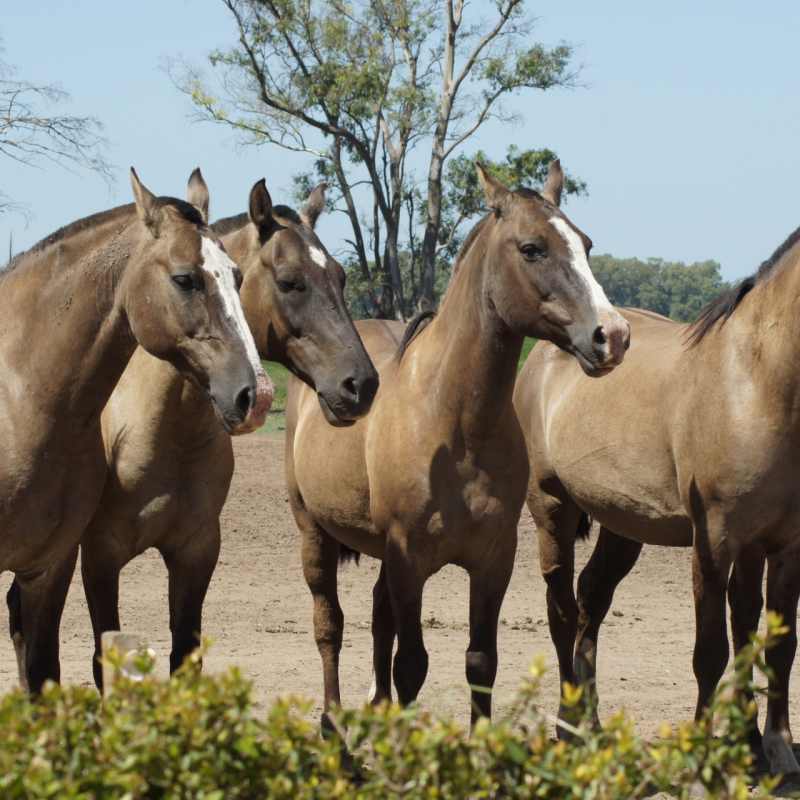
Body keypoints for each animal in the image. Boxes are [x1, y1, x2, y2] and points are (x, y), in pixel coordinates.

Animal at [0, 168, 272, 692]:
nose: (257, 395)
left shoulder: (49, 567)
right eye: (185, 279)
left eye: (238, 277)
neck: (18, 401)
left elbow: (43, 675)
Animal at [78, 175, 378, 688]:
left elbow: (185, 659)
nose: (361, 384)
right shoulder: (99, 557)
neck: (158, 431)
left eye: (340, 277)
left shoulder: (197, 552)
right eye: (289, 281)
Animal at [285, 160, 630, 729]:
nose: (613, 335)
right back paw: (333, 724)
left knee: (377, 619)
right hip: (313, 531)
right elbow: (411, 664)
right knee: (328, 625)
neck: (454, 426)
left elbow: (480, 661)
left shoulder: (493, 560)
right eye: (532, 248)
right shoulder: (409, 559)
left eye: (586, 243)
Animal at [513, 225, 800, 776]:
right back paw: (568, 725)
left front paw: (768, 746)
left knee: (590, 599)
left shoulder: (780, 544)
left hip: (624, 525)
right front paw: (706, 749)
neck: (756, 382)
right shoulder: (714, 541)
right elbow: (711, 649)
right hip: (551, 510)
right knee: (561, 610)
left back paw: (592, 721)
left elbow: (771, 642)